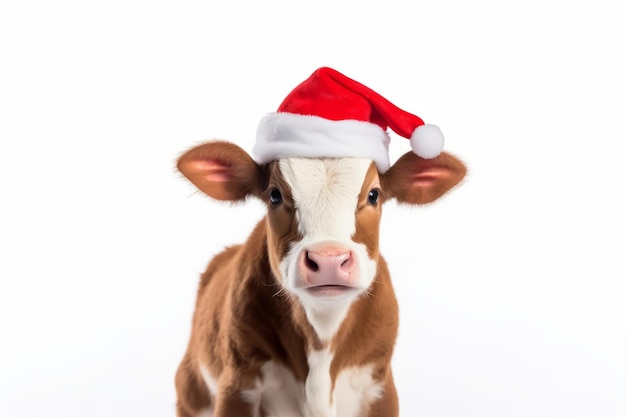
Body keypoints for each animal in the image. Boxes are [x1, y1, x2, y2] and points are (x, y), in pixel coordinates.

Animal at [173, 66, 466, 414]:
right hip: (190, 388)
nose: (328, 260)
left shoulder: (380, 384)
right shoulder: (237, 383)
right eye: (274, 195)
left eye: (373, 195)